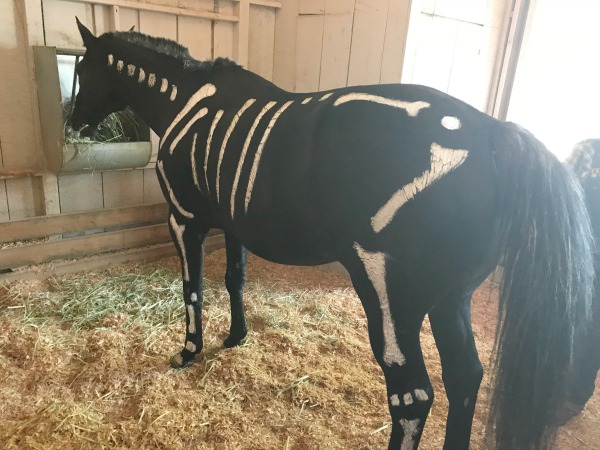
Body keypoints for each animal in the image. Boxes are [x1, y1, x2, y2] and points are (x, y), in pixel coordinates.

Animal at [70, 21, 596, 450]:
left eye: (83, 71)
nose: (74, 124)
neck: (187, 101)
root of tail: (493, 135)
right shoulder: (233, 225)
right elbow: (234, 280)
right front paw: (236, 337)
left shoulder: (183, 219)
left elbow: (192, 289)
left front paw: (189, 351)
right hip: (453, 299)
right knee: (465, 378)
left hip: (390, 297)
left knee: (413, 396)